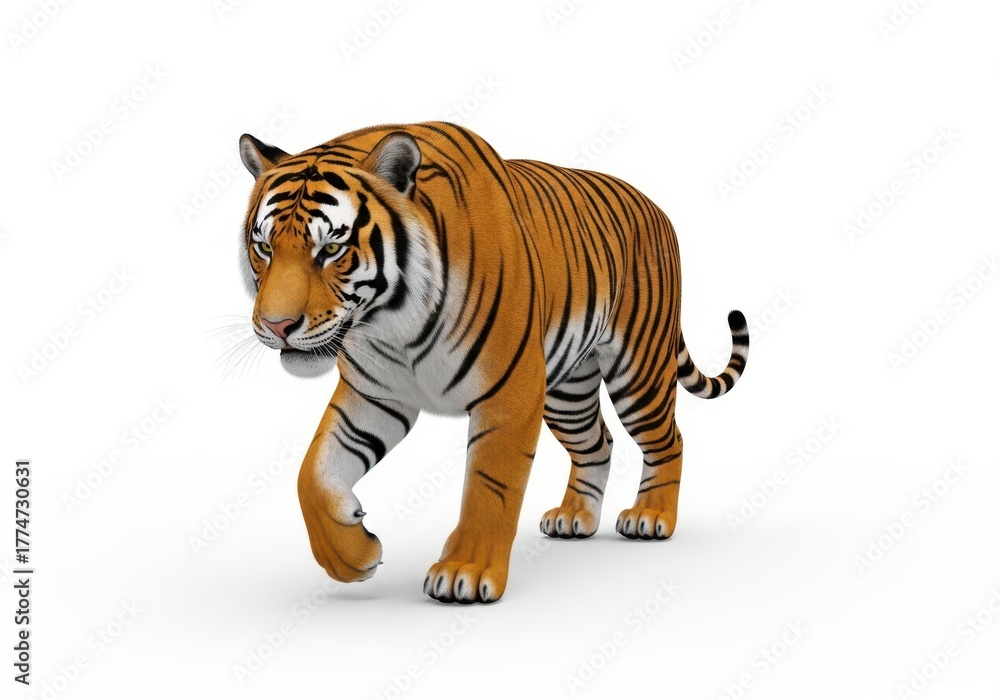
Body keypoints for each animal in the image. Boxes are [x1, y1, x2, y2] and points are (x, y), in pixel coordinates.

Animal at [236, 121, 749, 603]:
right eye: (264, 248)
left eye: (331, 249)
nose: (276, 325)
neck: (391, 323)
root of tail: (656, 207)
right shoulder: (374, 394)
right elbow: (312, 472)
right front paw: (352, 556)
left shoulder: (510, 394)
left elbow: (489, 486)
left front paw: (465, 570)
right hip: (567, 392)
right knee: (597, 442)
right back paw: (575, 517)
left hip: (638, 370)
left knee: (669, 440)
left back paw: (651, 515)